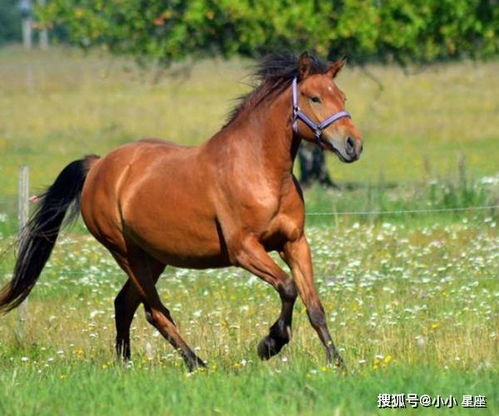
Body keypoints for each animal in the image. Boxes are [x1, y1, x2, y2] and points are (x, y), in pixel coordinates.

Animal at [0, 52, 364, 370]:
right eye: (314, 98)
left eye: (343, 96)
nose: (353, 145)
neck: (259, 170)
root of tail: (99, 165)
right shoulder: (243, 249)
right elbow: (288, 287)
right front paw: (269, 344)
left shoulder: (295, 243)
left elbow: (314, 306)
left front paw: (338, 364)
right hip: (127, 254)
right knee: (154, 311)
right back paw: (195, 363)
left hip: (154, 256)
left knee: (124, 304)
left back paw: (126, 364)